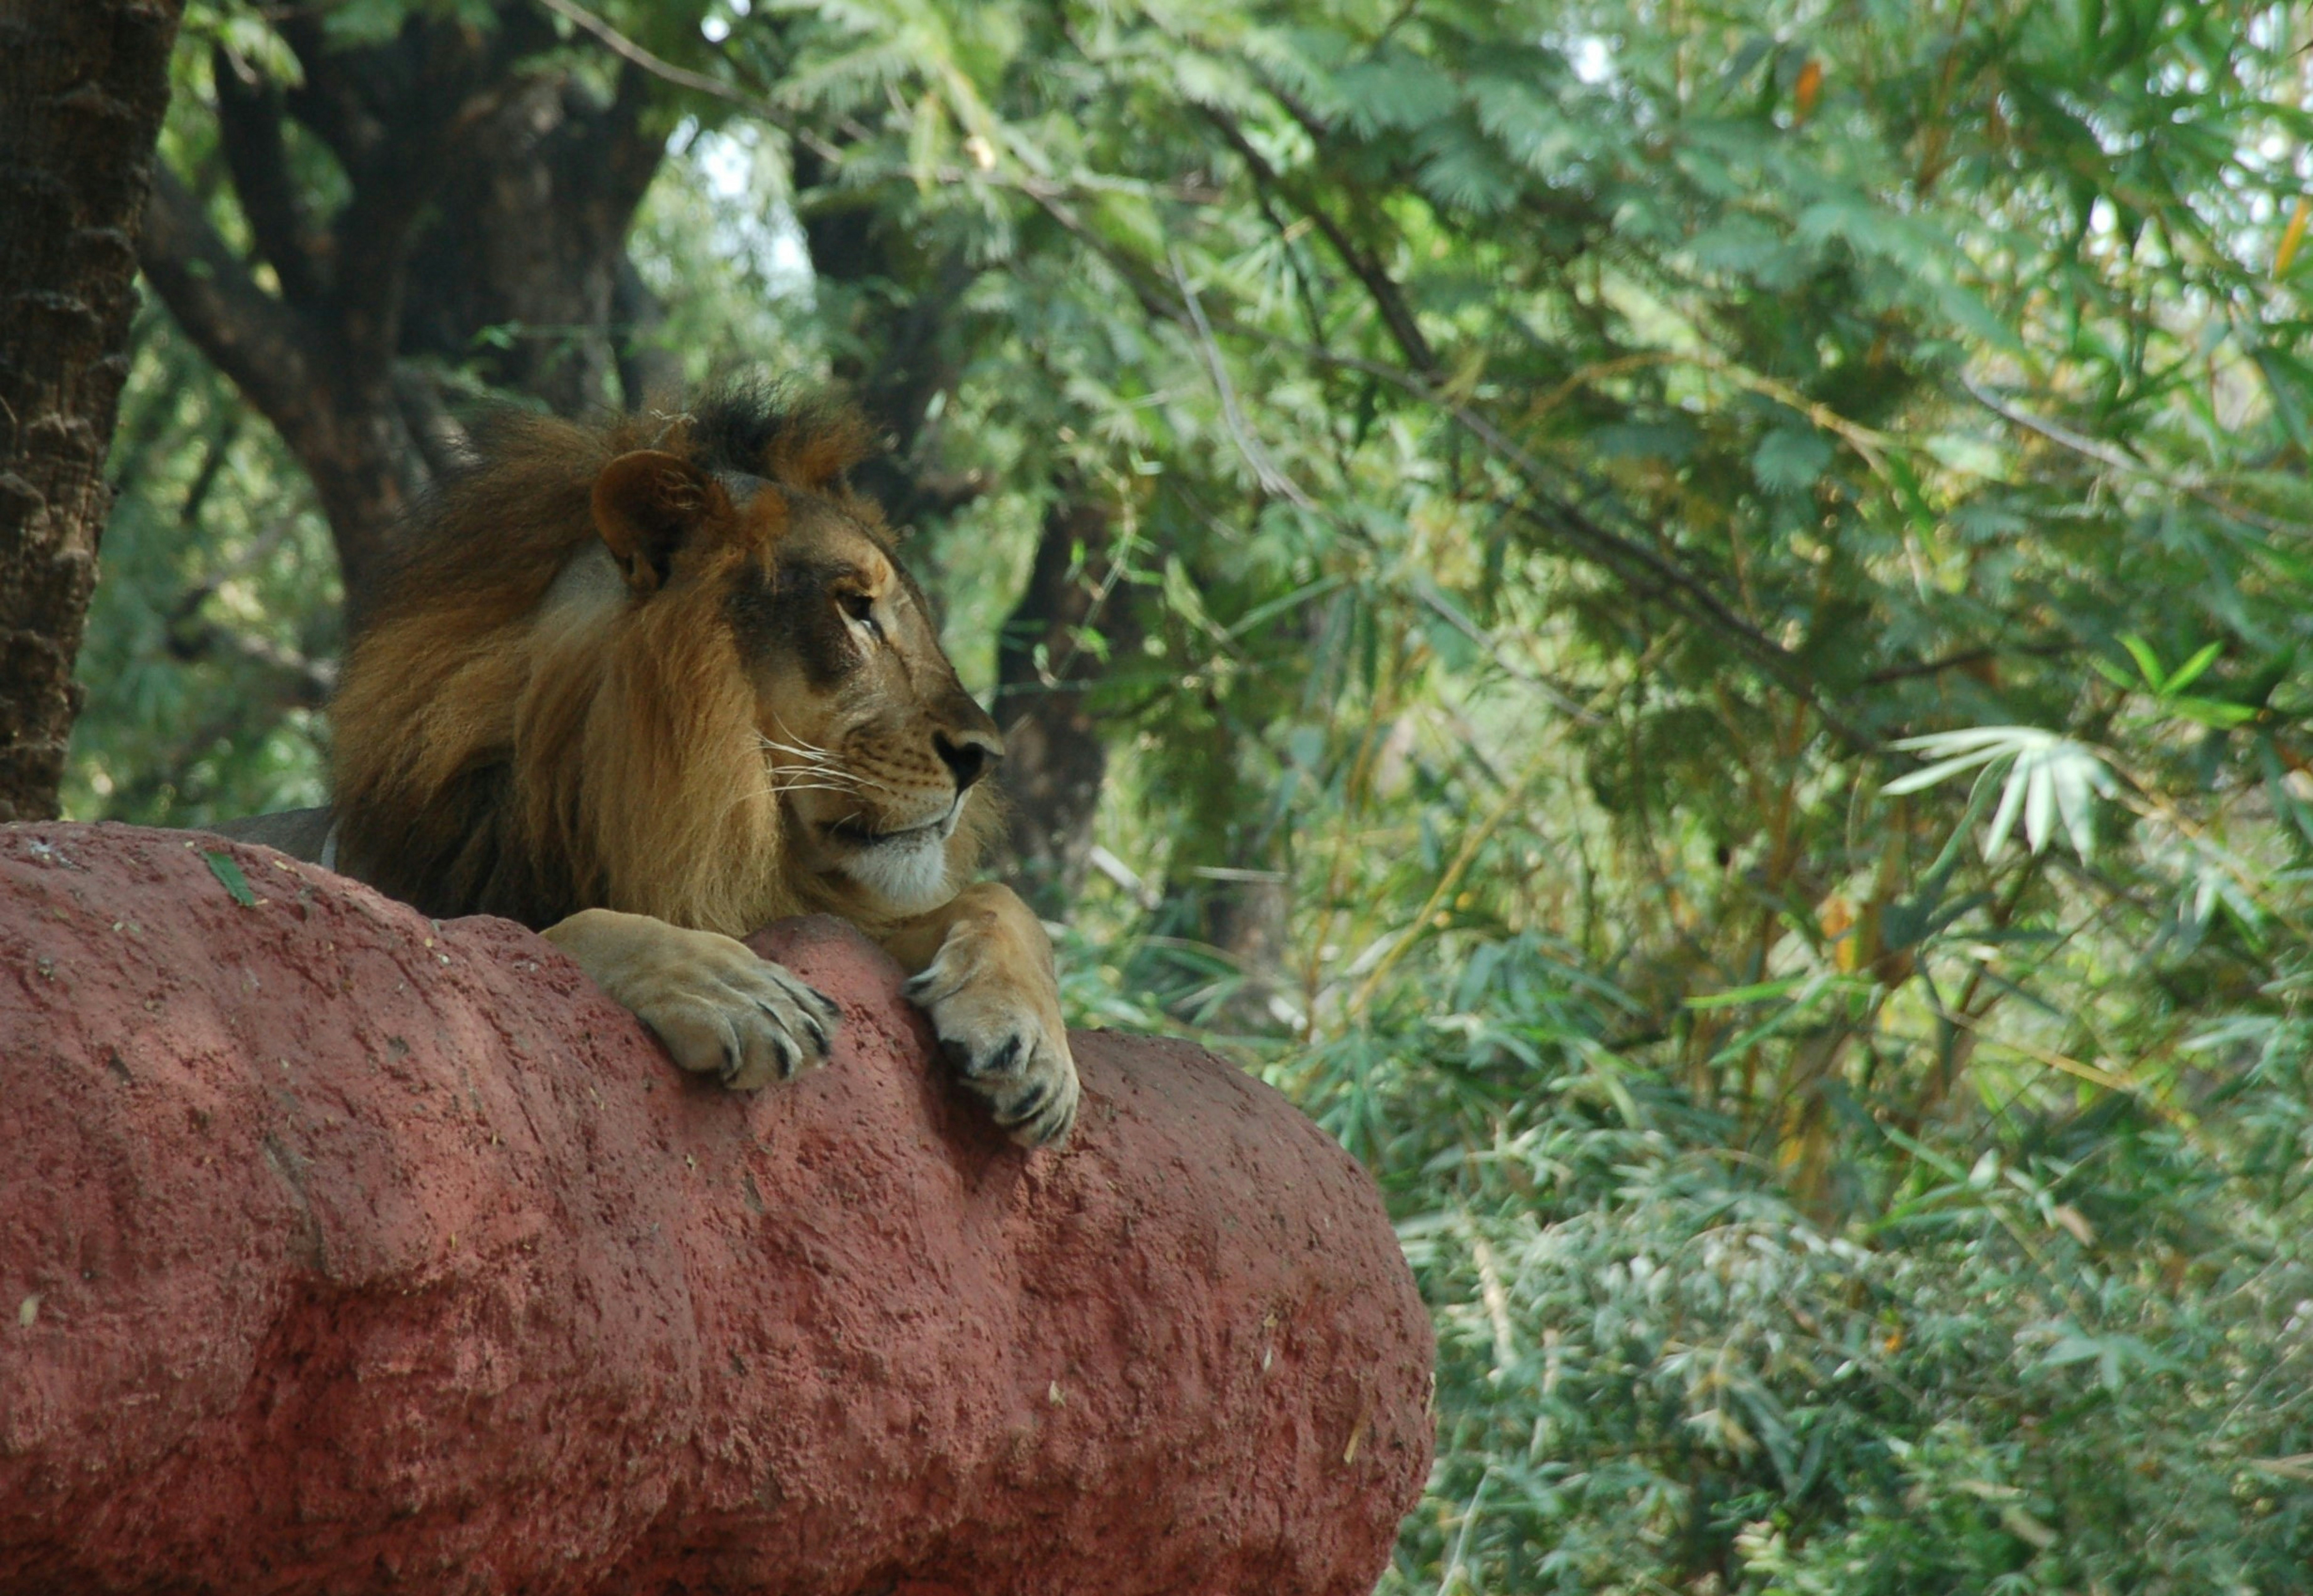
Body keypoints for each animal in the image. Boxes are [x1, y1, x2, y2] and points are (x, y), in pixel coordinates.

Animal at [217, 388, 1078, 1146]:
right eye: (854, 608)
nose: (983, 758)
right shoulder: (409, 904)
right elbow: (563, 928)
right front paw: (731, 988)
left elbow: (1002, 899)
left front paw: (1031, 1047)